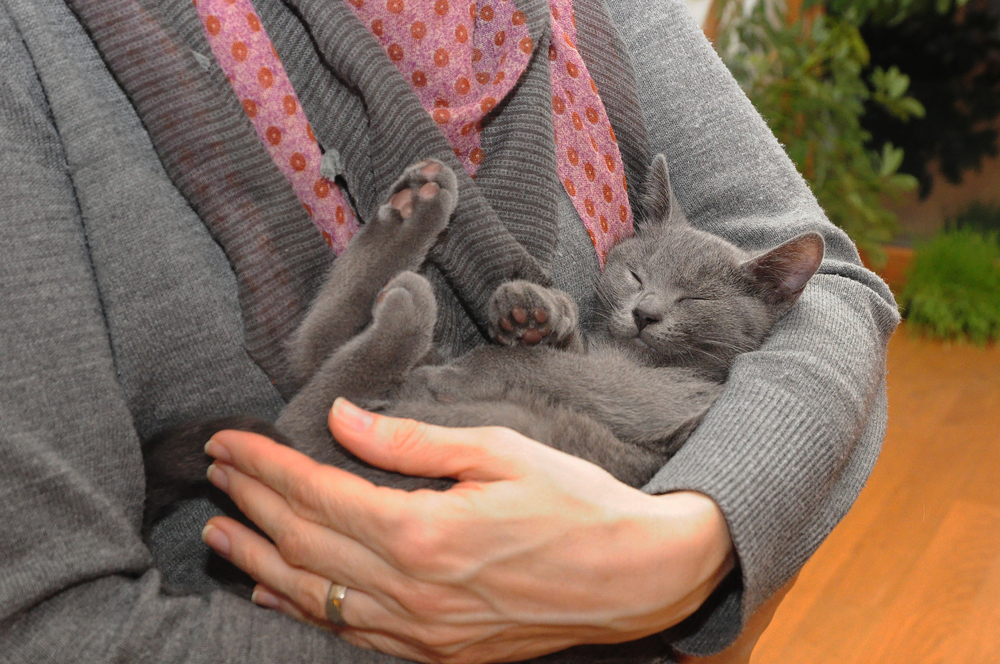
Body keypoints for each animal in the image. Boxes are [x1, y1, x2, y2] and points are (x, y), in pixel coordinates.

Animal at [145, 153, 824, 528]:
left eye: (696, 301)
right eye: (637, 274)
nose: (647, 313)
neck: (630, 356)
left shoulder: (659, 398)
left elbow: (545, 370)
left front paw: (511, 338)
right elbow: (555, 346)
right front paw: (533, 310)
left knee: (309, 410)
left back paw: (409, 301)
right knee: (310, 356)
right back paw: (414, 208)